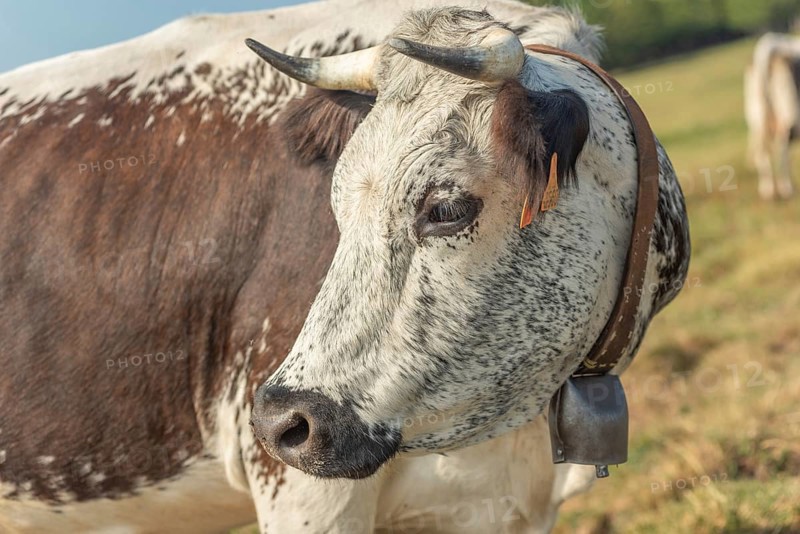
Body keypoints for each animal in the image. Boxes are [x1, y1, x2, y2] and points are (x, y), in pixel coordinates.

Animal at [745, 32, 800, 200]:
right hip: (789, 113)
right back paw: (786, 188)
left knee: (762, 151)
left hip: (757, 118)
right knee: (781, 147)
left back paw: (768, 190)